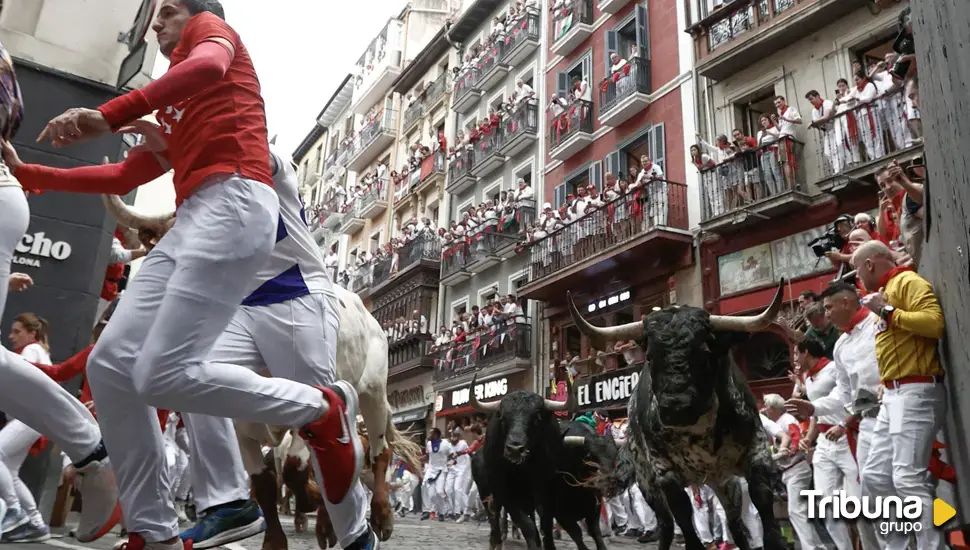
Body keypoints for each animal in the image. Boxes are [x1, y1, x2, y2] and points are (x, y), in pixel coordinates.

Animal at [100, 195, 422, 548]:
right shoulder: (241, 424)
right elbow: (264, 483)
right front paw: (273, 538)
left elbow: (301, 468)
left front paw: (317, 512)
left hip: (374, 390)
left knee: (379, 453)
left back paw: (378, 517)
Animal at [466, 378, 616, 550]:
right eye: (503, 418)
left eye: (536, 418)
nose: (515, 449)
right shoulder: (510, 496)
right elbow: (530, 528)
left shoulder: (551, 497)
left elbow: (588, 532)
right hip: (487, 493)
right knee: (495, 517)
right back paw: (497, 540)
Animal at [568, 280, 788, 550]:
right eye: (650, 356)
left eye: (705, 351)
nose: (675, 407)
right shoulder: (664, 473)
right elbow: (683, 515)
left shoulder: (757, 451)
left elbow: (764, 502)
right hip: (648, 483)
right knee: (666, 524)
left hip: (726, 483)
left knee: (735, 524)